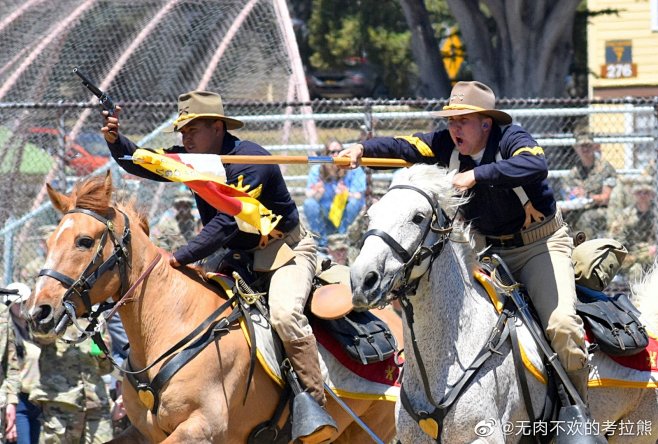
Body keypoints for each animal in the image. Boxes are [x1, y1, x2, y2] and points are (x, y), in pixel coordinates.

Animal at [25, 173, 398, 440]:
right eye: (49, 241)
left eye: (84, 241)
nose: (38, 312)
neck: (171, 323)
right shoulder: (143, 432)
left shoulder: (202, 426)